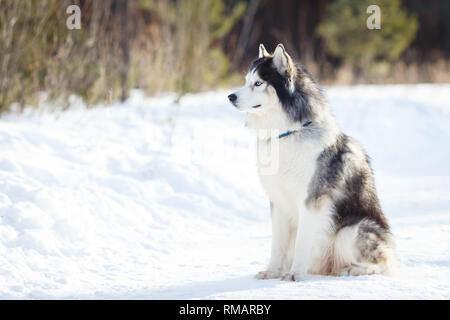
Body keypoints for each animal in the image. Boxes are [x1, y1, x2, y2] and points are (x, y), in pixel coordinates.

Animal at [229, 43, 398, 280]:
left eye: (258, 83)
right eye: (246, 81)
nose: (230, 96)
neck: (287, 133)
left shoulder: (311, 200)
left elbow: (302, 242)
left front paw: (295, 274)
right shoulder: (278, 202)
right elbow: (277, 245)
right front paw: (272, 272)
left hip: (350, 231)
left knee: (384, 265)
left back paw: (350, 270)